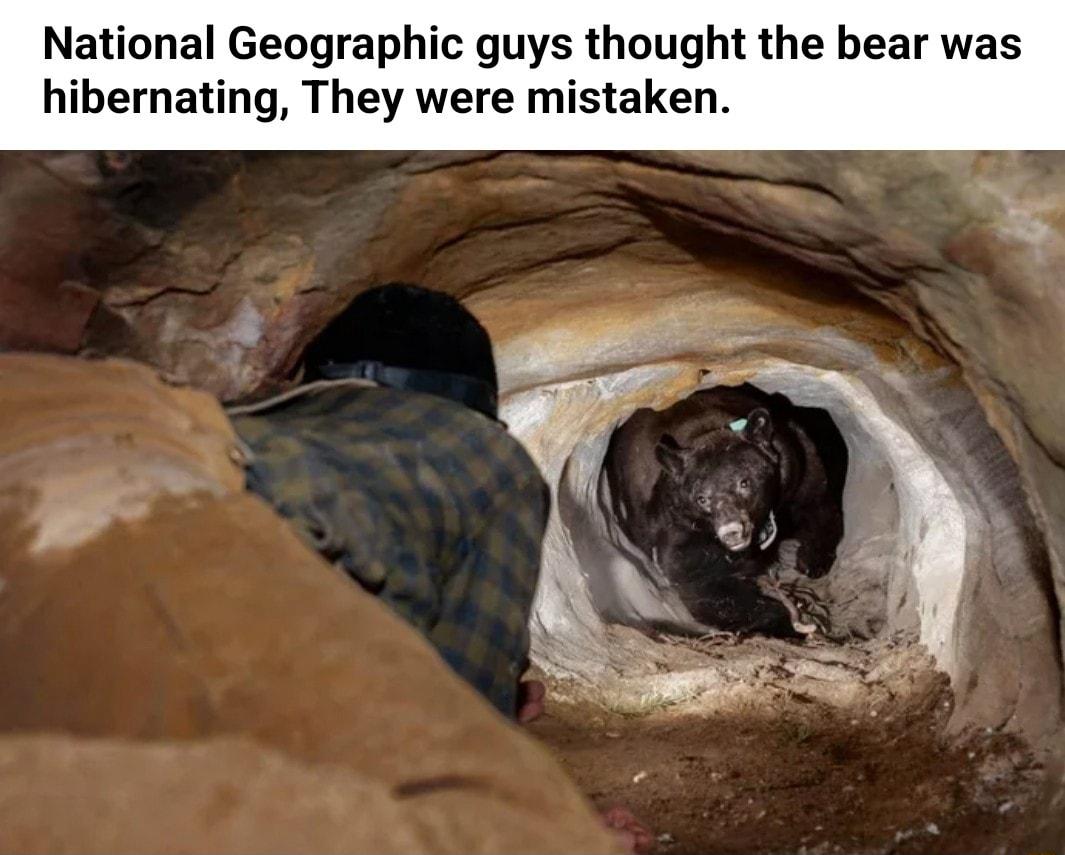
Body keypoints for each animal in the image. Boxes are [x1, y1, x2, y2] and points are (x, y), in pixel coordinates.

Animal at [604, 383, 846, 637]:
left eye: (744, 482)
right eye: (701, 498)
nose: (731, 532)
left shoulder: (796, 467)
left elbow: (817, 504)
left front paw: (813, 561)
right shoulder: (679, 527)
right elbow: (705, 584)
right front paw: (788, 624)